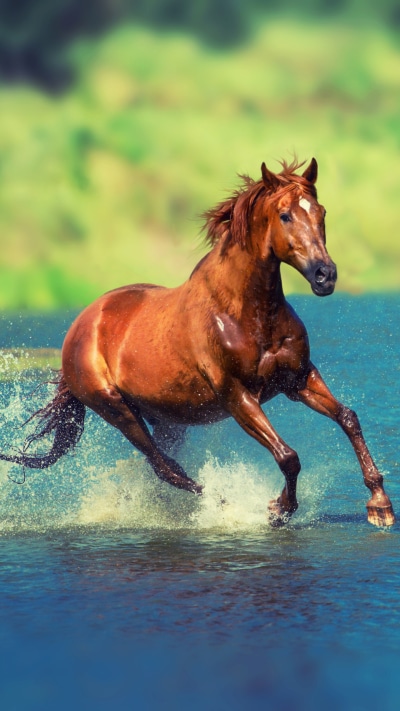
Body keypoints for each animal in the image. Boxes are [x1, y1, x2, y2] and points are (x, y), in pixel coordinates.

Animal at [0, 158, 395, 527]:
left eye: (321, 212)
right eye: (285, 215)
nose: (325, 275)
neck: (245, 313)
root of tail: (80, 327)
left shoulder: (297, 379)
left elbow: (348, 418)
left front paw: (380, 505)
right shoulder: (237, 395)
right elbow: (288, 456)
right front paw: (278, 509)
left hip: (168, 418)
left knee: (161, 467)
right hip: (115, 409)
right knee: (165, 467)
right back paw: (224, 505)